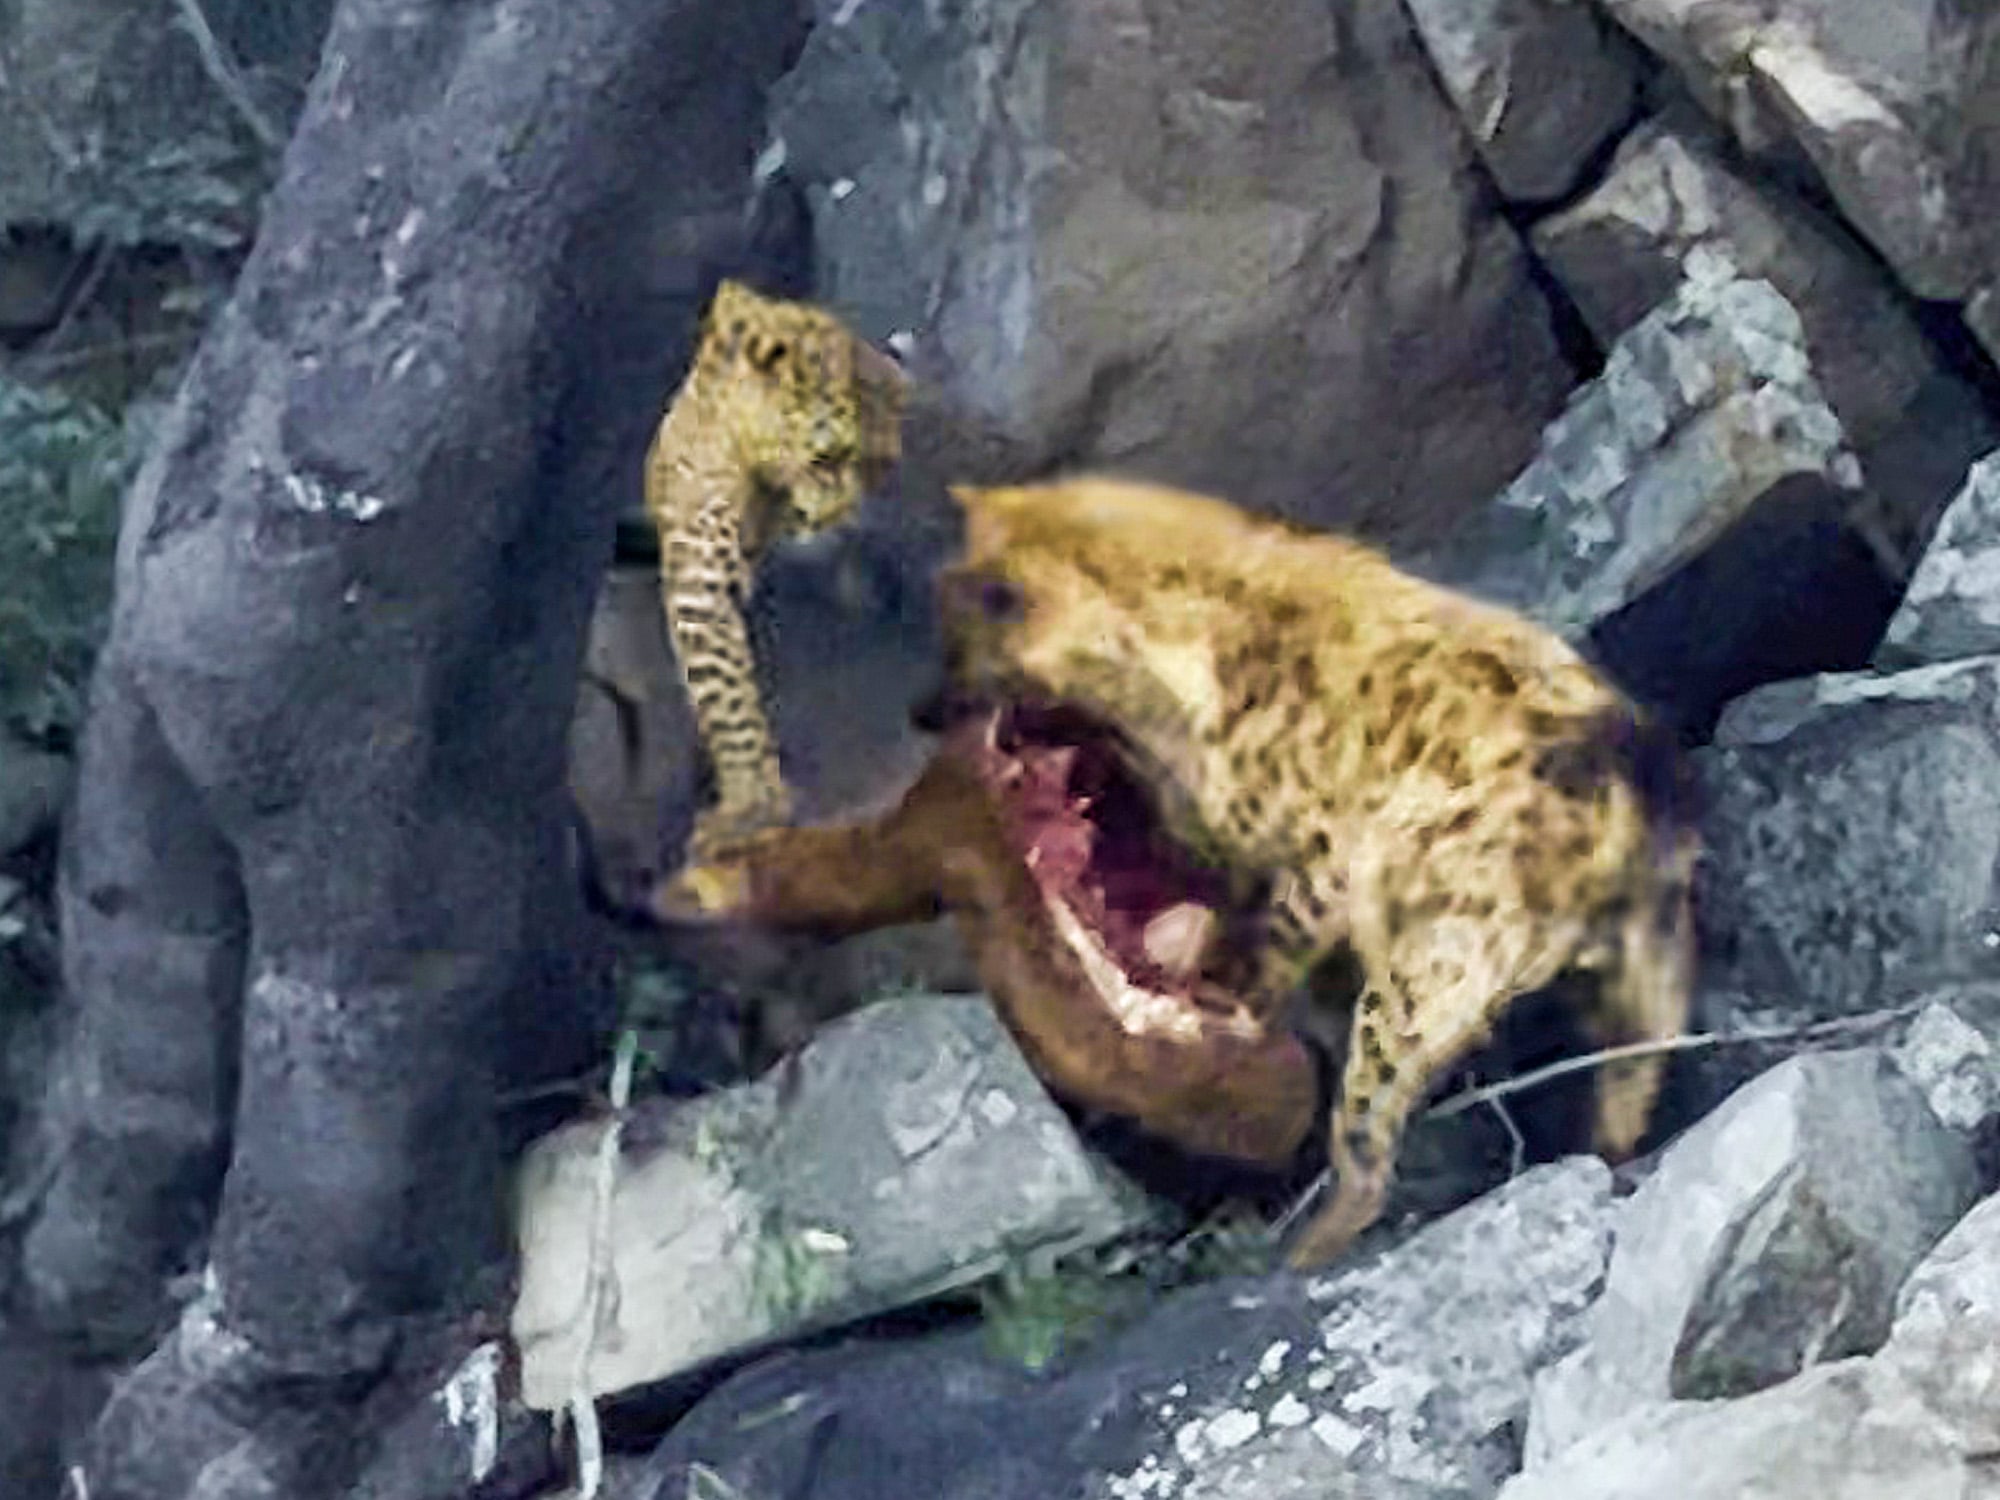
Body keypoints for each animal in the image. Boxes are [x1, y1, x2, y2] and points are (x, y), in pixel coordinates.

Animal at [644, 277, 909, 865]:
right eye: (826, 458)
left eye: (876, 463)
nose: (837, 515)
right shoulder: (700, 560)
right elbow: (727, 692)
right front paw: (752, 804)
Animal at [902, 472, 1701, 1271]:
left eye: (955, 647)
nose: (920, 712)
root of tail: (1627, 780)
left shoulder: (1318, 858)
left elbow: (1264, 957)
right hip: (1650, 962)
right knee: (1635, 1074)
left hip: (1426, 970)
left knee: (1371, 1139)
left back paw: (1303, 1249)